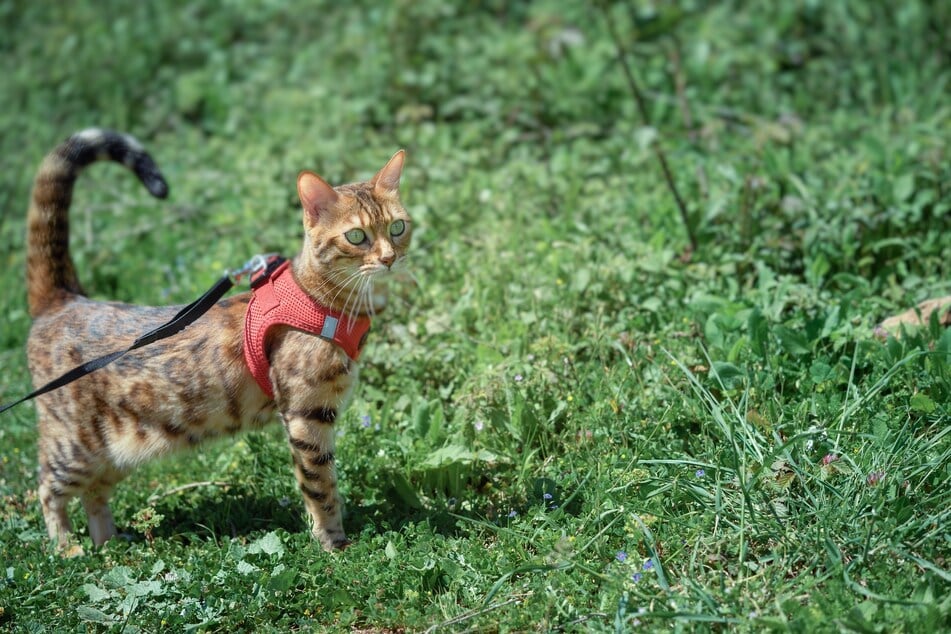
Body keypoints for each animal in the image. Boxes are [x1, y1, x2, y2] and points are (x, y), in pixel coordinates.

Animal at [22, 130, 410, 552]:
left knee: (95, 494)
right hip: (75, 446)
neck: (320, 301)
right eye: (356, 236)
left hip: (118, 451)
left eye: (397, 227)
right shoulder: (306, 415)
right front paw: (333, 543)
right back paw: (67, 549)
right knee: (47, 488)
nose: (389, 258)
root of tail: (64, 299)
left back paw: (109, 543)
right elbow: (321, 486)